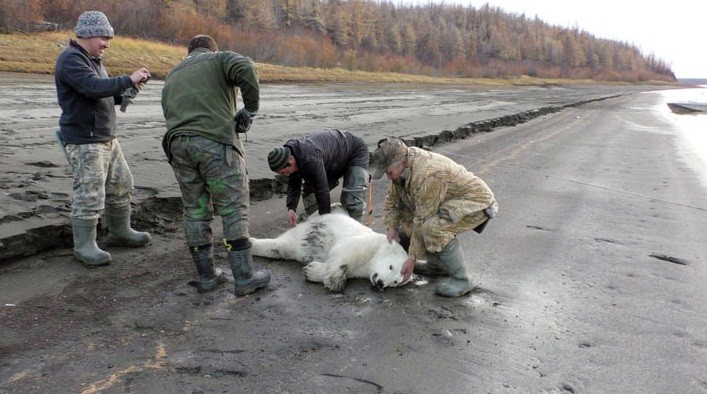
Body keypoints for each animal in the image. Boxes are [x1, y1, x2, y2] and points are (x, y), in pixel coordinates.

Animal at [253, 212, 410, 292]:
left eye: (395, 282)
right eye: (391, 266)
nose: (380, 284)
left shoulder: (363, 271)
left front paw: (311, 270)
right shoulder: (366, 244)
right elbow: (342, 254)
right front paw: (335, 282)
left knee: (281, 248)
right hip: (317, 227)